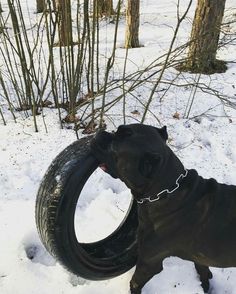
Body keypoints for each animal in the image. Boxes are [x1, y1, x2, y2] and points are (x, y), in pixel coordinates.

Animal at [90, 124, 236, 294]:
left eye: (115, 147)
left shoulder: (148, 263)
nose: (100, 133)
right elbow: (204, 273)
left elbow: (135, 283)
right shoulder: (200, 258)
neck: (167, 192)